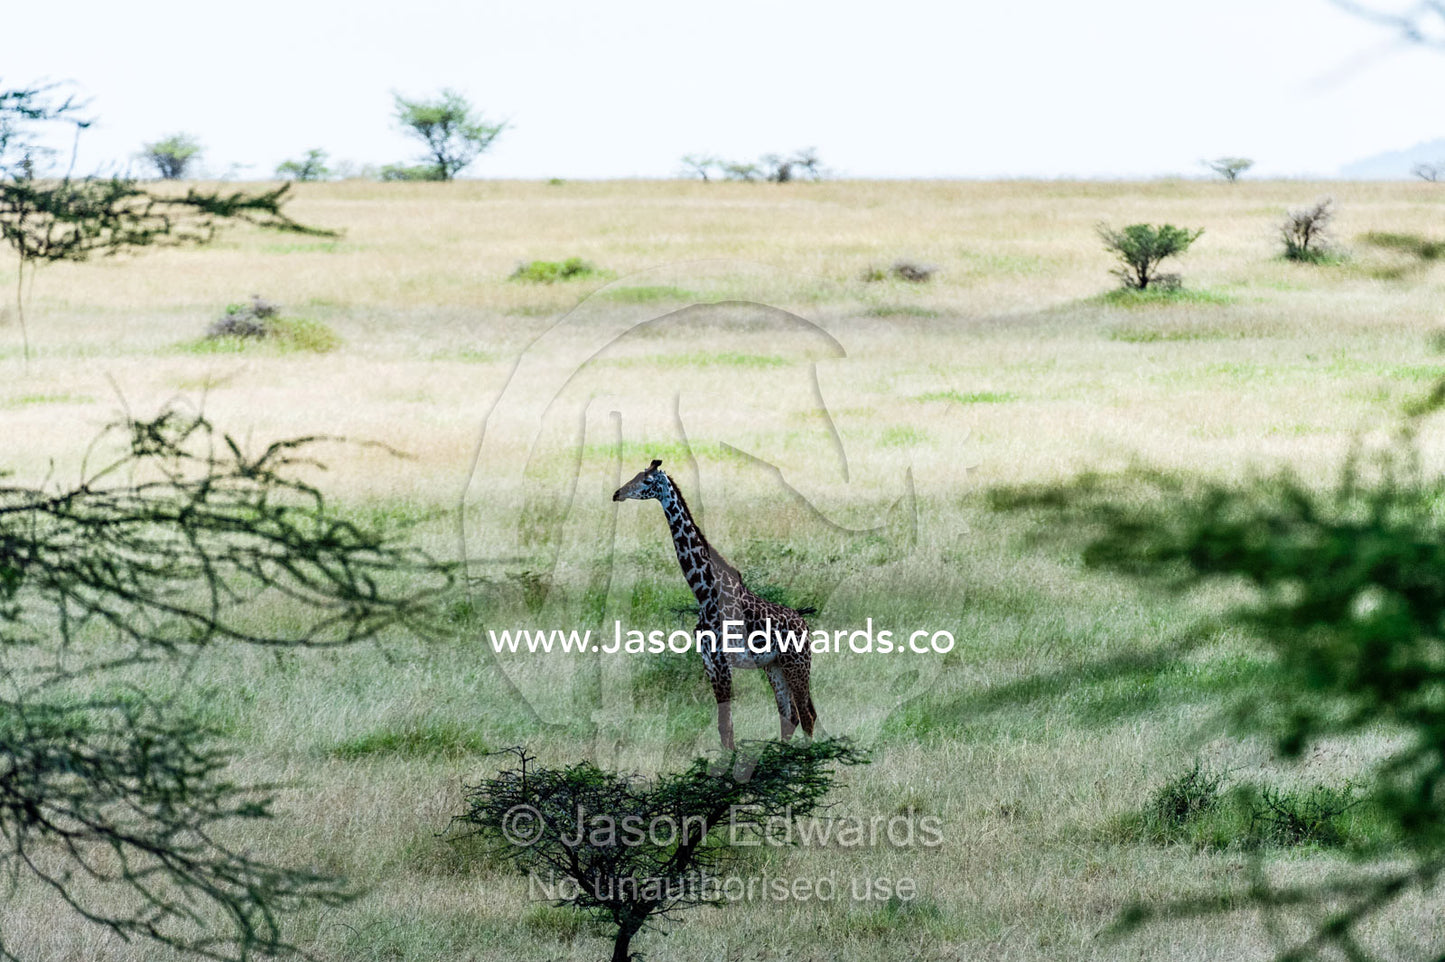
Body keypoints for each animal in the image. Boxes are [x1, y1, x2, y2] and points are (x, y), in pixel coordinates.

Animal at [613, 459, 817, 750]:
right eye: (635, 475)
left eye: (647, 481)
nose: (617, 493)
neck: (704, 591)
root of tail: (805, 625)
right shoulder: (708, 660)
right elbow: (724, 728)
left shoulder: (722, 661)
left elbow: (727, 726)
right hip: (774, 666)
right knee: (791, 716)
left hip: (797, 664)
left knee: (807, 715)